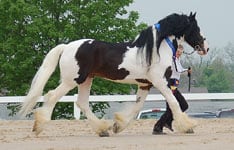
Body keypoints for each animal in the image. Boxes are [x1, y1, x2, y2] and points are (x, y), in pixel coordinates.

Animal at [20, 12, 209, 137]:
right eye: (196, 28)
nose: (205, 48)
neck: (156, 50)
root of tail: (67, 46)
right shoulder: (160, 81)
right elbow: (174, 103)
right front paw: (188, 126)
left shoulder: (145, 84)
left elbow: (137, 107)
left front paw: (118, 125)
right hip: (72, 80)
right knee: (52, 96)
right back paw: (39, 127)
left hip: (86, 80)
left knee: (82, 103)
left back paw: (103, 130)